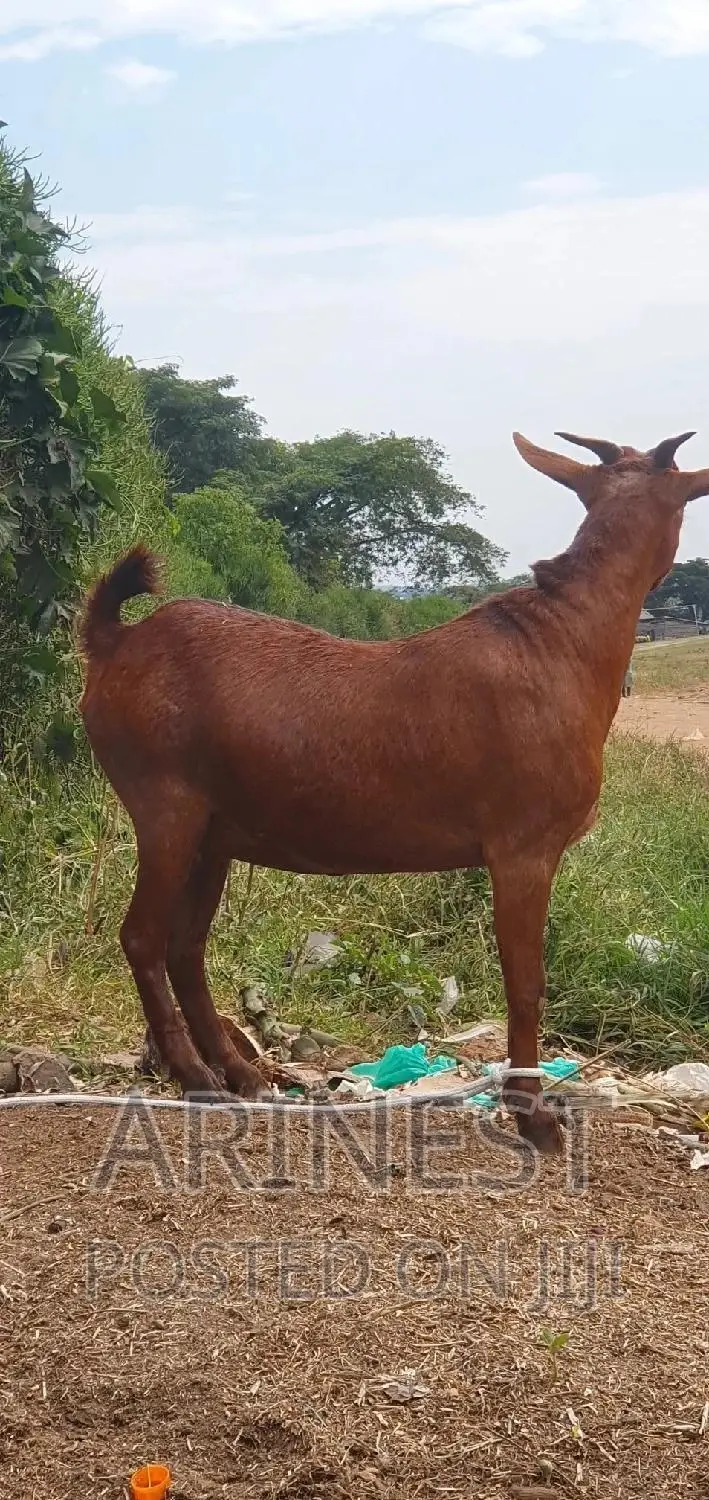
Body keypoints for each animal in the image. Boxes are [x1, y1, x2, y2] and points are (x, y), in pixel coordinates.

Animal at [79, 429, 709, 1154]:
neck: (562, 641)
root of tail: (114, 641)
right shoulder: (523, 847)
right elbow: (525, 982)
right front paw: (532, 1116)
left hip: (213, 832)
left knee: (185, 948)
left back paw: (244, 1075)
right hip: (165, 806)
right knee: (142, 938)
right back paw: (195, 1078)